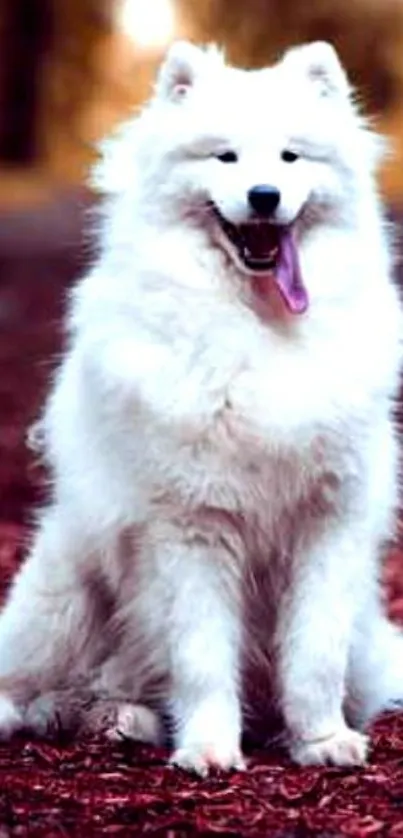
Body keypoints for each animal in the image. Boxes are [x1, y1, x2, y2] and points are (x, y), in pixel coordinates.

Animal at [0, 39, 403, 776]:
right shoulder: (192, 528)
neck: (258, 324)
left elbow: (314, 653)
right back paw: (107, 717)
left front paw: (319, 740)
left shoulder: (327, 526)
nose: (264, 196)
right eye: (225, 158)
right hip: (66, 590)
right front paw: (209, 748)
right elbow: (201, 655)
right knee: (36, 691)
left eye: (290, 157)